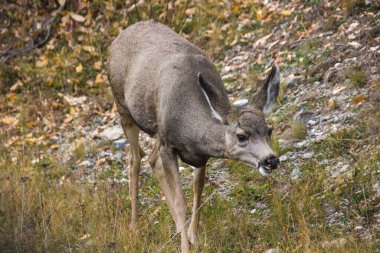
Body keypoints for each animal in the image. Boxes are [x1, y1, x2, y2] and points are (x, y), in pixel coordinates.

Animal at [108, 20, 280, 252]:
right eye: (242, 135)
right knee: (135, 159)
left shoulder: (199, 155)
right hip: (123, 109)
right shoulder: (169, 145)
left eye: (269, 130)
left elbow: (198, 189)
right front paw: (185, 246)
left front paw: (193, 237)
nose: (271, 159)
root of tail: (121, 34)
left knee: (151, 159)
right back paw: (134, 227)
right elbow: (181, 201)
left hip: (156, 131)